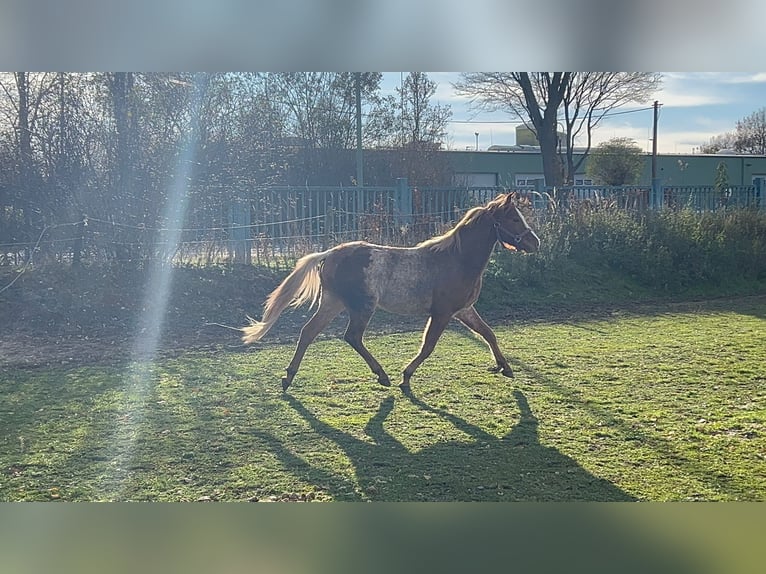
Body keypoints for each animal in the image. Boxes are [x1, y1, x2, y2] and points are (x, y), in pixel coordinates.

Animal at [241, 193, 540, 392]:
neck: (456, 260)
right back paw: (382, 375)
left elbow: (488, 333)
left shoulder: (464, 310)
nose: (534, 242)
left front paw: (505, 367)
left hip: (333, 303)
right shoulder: (442, 313)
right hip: (362, 307)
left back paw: (288, 377)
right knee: (351, 336)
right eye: (514, 218)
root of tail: (330, 254)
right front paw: (405, 377)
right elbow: (428, 346)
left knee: (308, 332)